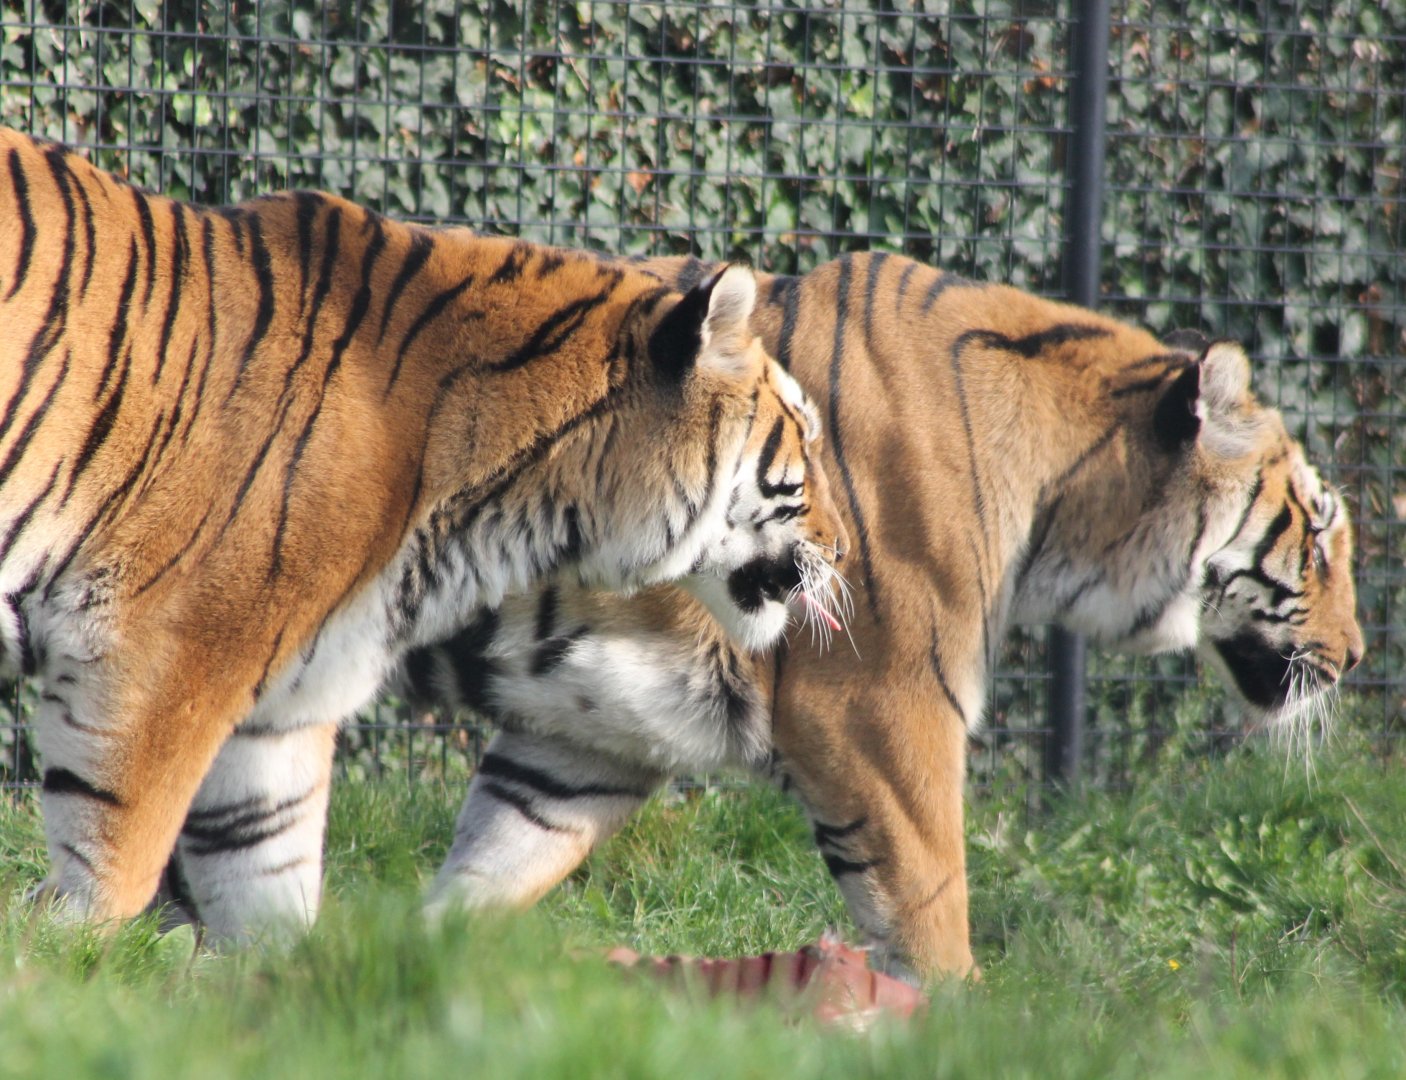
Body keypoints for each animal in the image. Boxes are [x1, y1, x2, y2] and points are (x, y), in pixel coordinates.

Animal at [0, 126, 847, 942]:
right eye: (804, 440)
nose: (845, 549)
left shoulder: (282, 711)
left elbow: (266, 880)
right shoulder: (160, 660)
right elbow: (115, 862)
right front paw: (66, 964)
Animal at [375, 251, 1363, 980]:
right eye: (1319, 533)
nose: (1355, 657)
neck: (1061, 499)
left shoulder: (588, 735)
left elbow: (488, 869)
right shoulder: (885, 714)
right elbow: (932, 912)